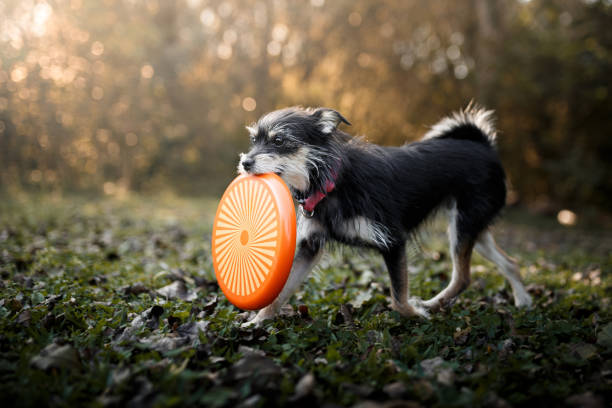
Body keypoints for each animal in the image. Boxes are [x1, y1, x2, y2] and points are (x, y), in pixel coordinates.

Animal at [237, 105, 532, 326]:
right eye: (253, 141)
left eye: (278, 140)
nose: (245, 162)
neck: (333, 181)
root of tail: (483, 146)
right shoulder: (310, 246)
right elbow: (281, 292)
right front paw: (257, 322)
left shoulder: (393, 241)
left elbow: (398, 298)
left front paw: (415, 315)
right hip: (472, 228)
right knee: (510, 263)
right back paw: (523, 300)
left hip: (463, 224)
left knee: (462, 277)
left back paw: (433, 304)